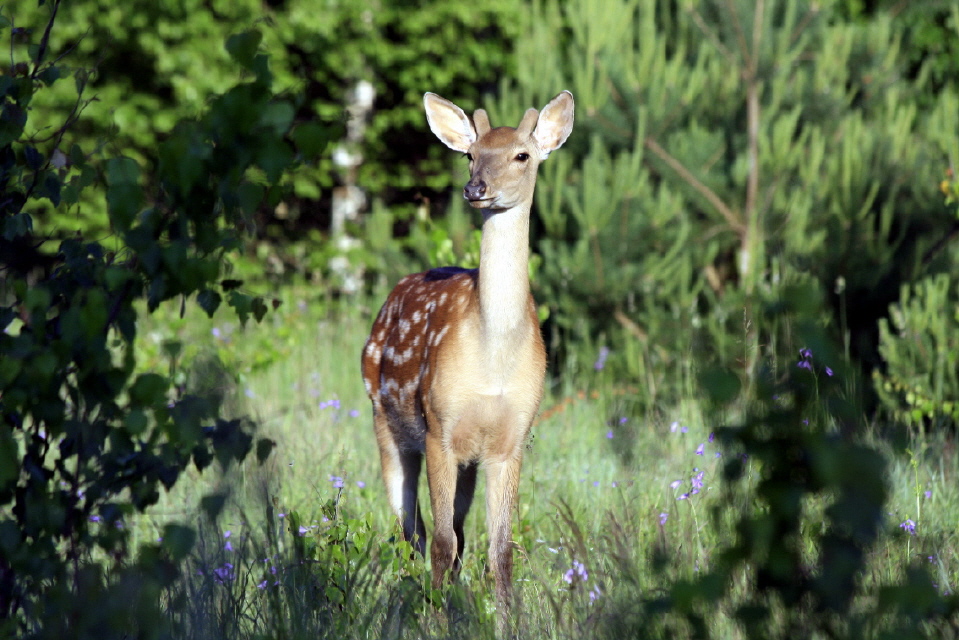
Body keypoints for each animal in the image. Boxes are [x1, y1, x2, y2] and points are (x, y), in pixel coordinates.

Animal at [358, 90, 568, 632]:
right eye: (470, 155)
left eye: (522, 155)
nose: (476, 189)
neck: (493, 358)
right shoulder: (440, 426)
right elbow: (439, 541)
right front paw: (433, 621)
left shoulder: (512, 439)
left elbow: (500, 550)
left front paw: (506, 625)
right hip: (385, 424)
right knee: (410, 532)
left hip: (467, 461)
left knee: (456, 537)